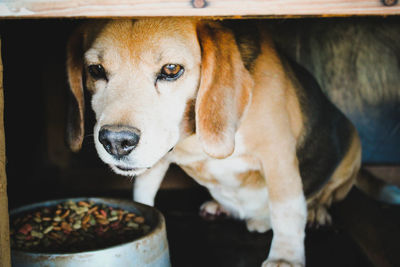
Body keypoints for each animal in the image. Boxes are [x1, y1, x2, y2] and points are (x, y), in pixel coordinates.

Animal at [66, 18, 362, 267]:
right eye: (96, 70)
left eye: (171, 69)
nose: (116, 141)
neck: (194, 136)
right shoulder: (157, 159)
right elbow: (143, 193)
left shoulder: (278, 155)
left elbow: (287, 211)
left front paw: (285, 257)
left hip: (352, 147)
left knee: (325, 194)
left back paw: (315, 212)